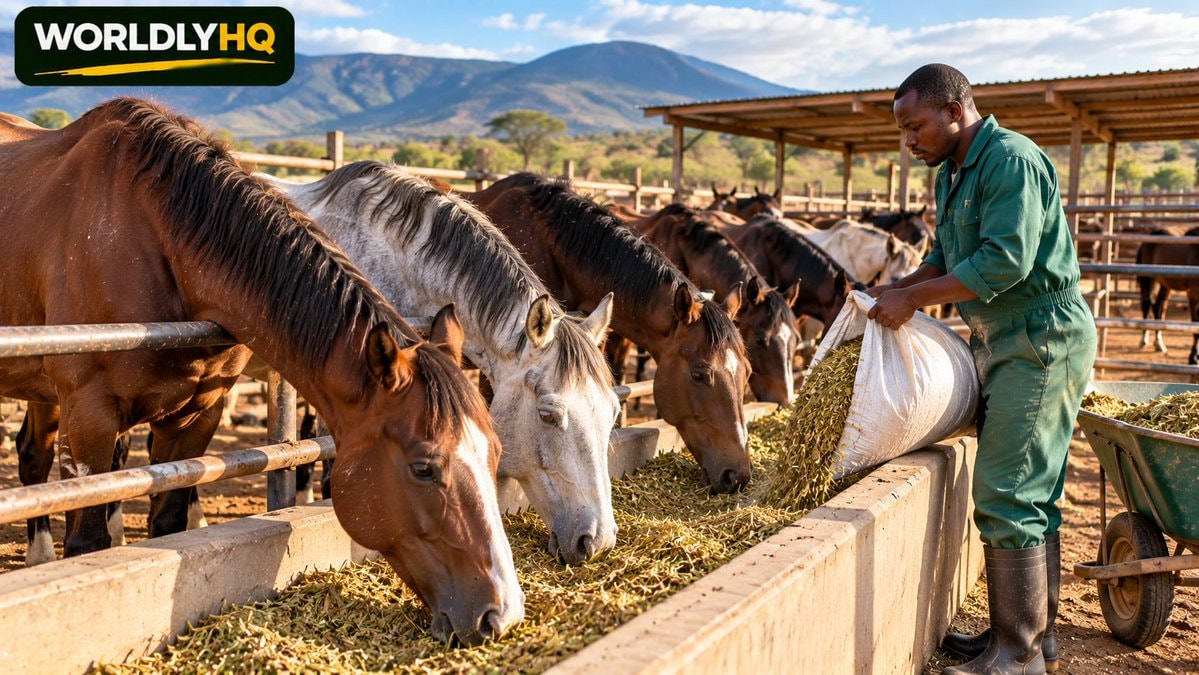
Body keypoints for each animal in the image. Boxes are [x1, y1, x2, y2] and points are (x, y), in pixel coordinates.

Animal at [0, 99, 522, 645]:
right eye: (424, 467)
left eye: (495, 451)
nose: (501, 613)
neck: (151, 238)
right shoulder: (89, 416)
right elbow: (87, 541)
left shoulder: (196, 415)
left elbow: (169, 525)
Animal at [1137, 226, 1199, 363]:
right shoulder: (1193, 294)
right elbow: (1195, 325)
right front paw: (1193, 357)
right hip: (1148, 279)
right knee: (1147, 304)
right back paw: (1143, 341)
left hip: (1164, 284)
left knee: (1159, 306)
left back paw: (1159, 344)